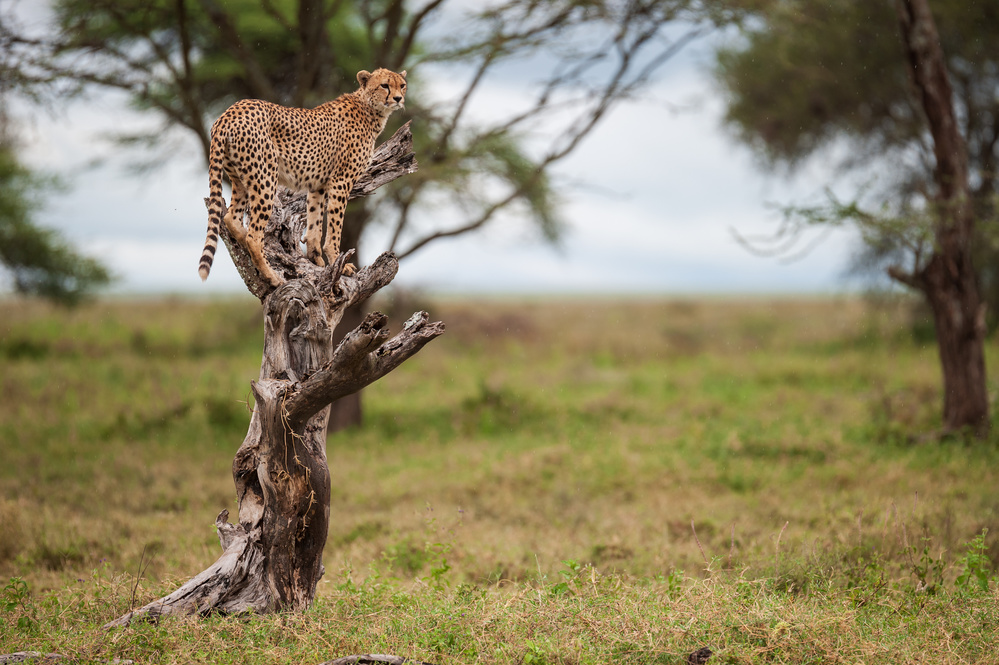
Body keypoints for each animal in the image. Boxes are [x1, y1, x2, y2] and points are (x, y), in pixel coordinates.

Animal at [197, 68, 408, 286]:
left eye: (402, 85)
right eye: (385, 85)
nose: (398, 98)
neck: (369, 108)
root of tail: (229, 112)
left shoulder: (318, 184)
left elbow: (315, 221)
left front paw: (317, 260)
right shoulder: (341, 182)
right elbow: (334, 227)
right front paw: (338, 262)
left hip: (240, 179)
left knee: (231, 218)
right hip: (265, 179)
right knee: (254, 236)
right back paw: (272, 276)